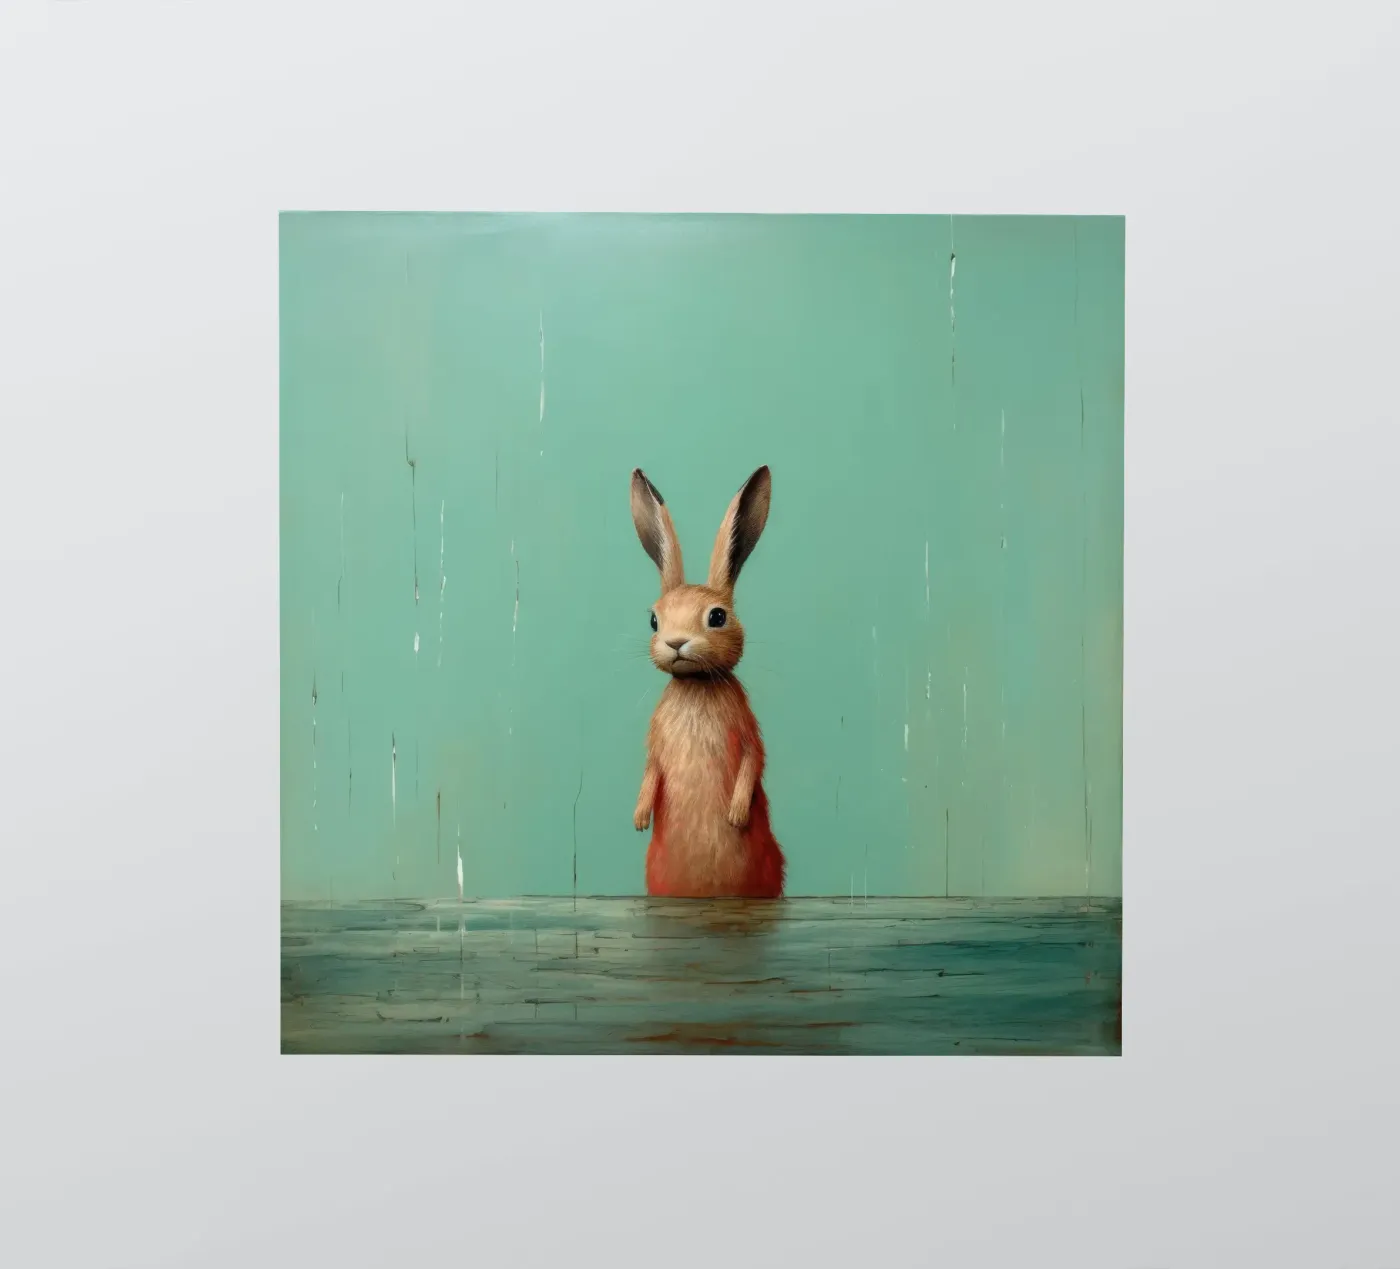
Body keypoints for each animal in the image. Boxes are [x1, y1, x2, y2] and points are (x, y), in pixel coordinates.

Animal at [628, 465, 786, 899]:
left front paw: (735, 816)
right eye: (654, 620)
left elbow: (753, 761)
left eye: (717, 617)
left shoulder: (748, 731)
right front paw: (639, 818)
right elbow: (650, 770)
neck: (696, 684)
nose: (676, 642)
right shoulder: (655, 744)